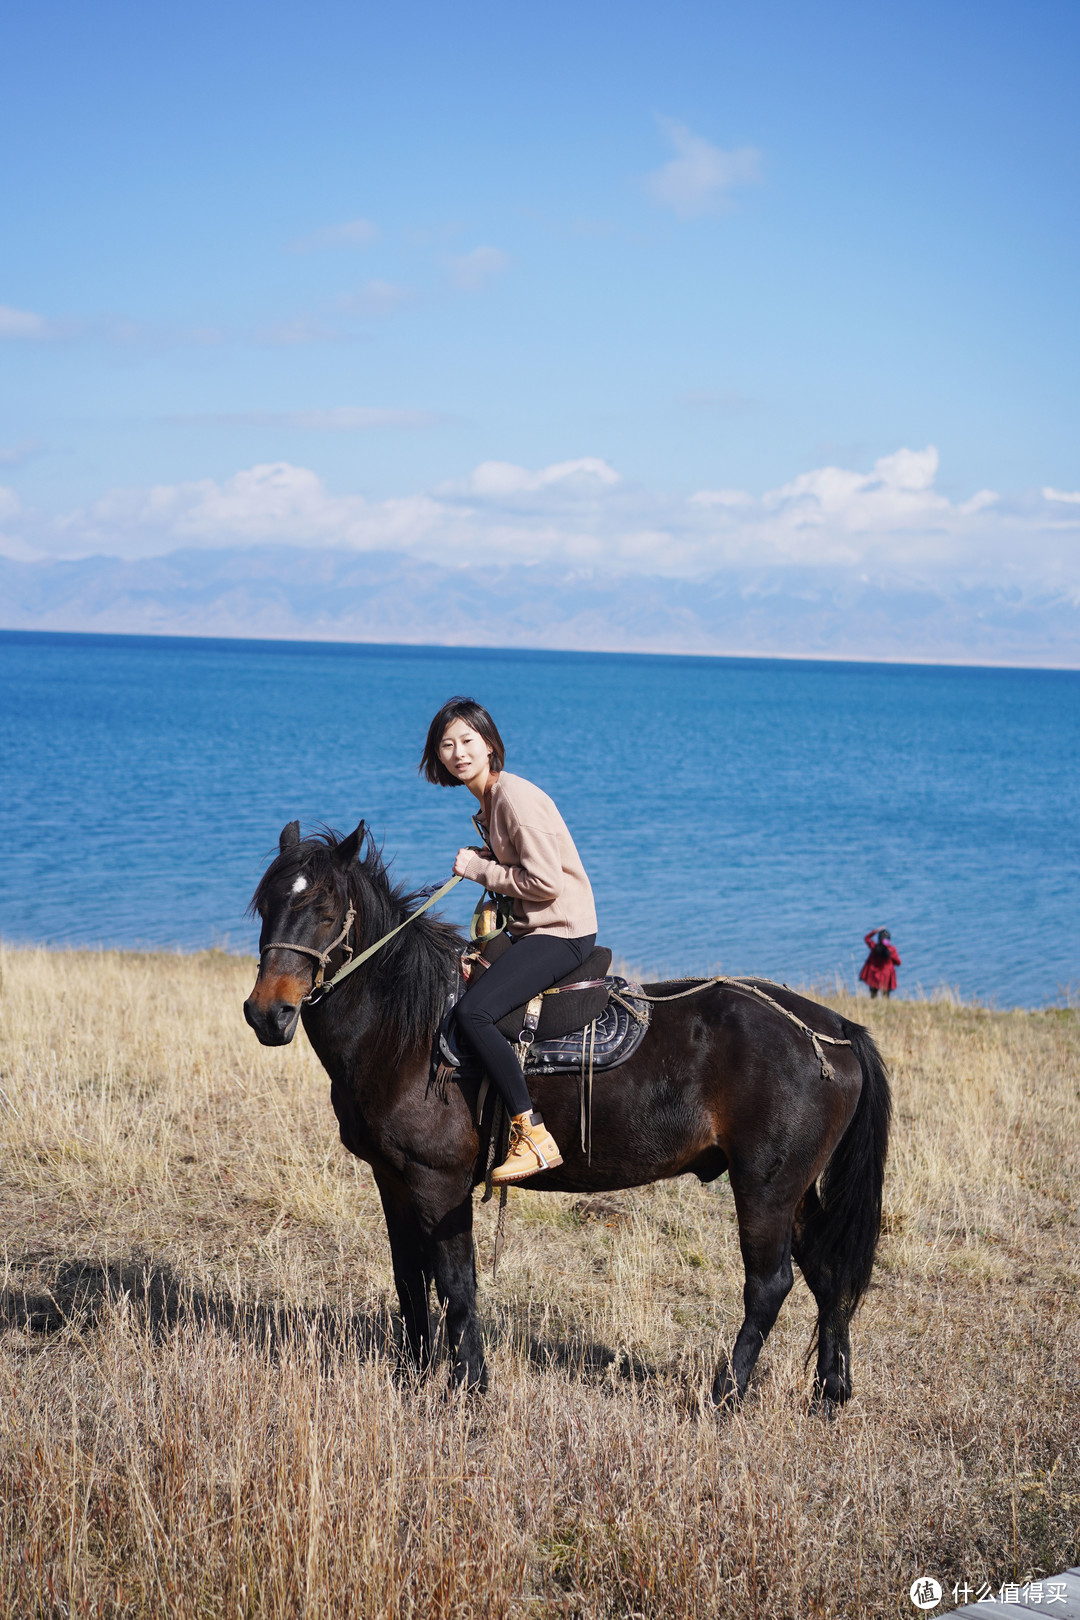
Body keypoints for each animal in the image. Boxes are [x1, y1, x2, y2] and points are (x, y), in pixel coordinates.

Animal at [247, 822, 893, 1406]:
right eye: (266, 905)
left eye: (325, 910)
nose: (266, 1013)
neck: (409, 1031)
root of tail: (833, 1030)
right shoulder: (393, 1178)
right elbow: (410, 1276)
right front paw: (411, 1377)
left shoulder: (439, 1181)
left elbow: (456, 1281)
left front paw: (469, 1386)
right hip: (794, 1187)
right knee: (826, 1269)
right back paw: (831, 1390)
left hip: (764, 1186)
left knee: (769, 1283)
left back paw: (727, 1393)